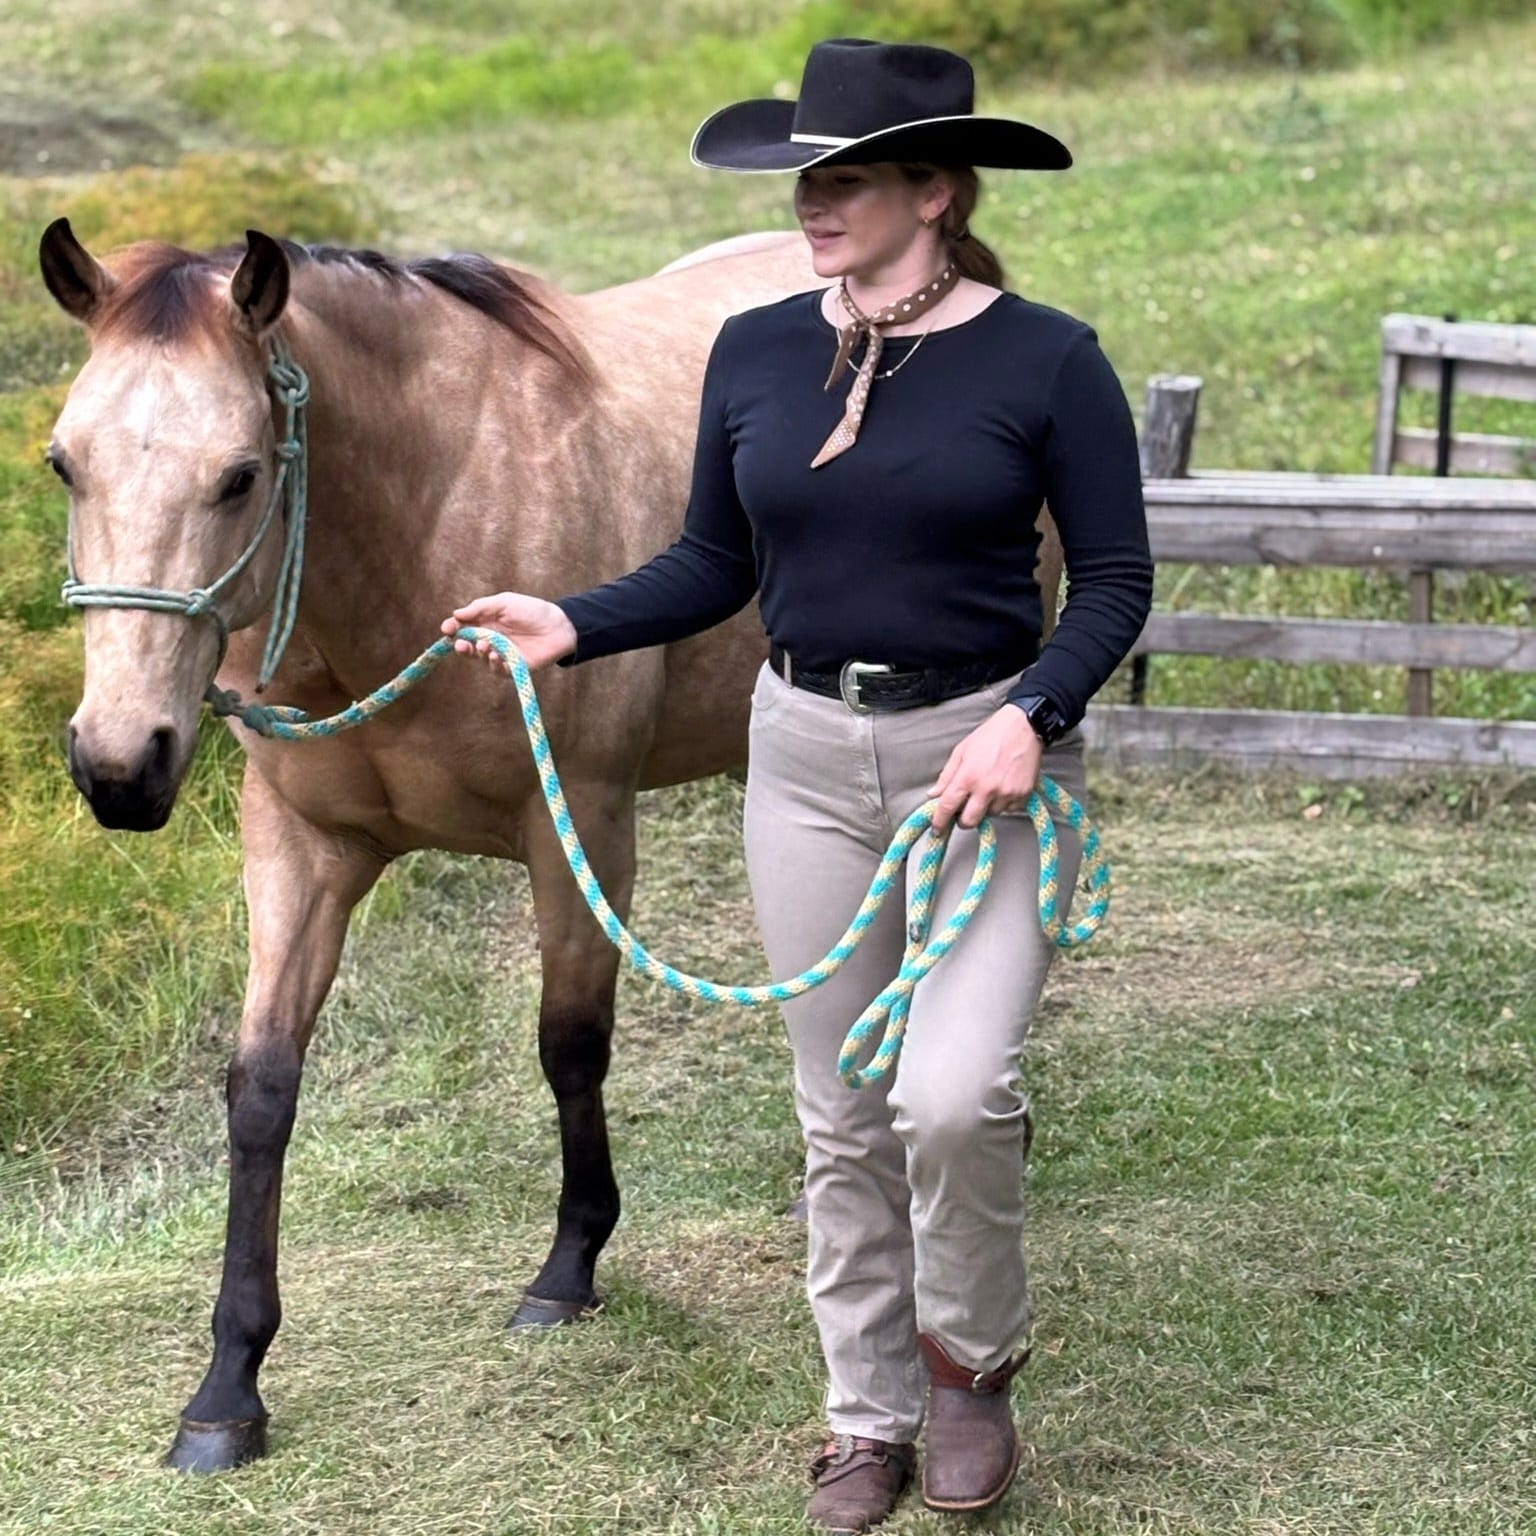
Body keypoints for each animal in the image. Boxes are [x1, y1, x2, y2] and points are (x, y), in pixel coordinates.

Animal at [39, 218, 1064, 1474]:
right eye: (64, 463)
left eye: (238, 475)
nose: (119, 763)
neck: (424, 527)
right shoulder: (300, 847)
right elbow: (262, 1089)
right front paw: (227, 1387)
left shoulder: (580, 824)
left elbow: (570, 1045)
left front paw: (569, 1268)